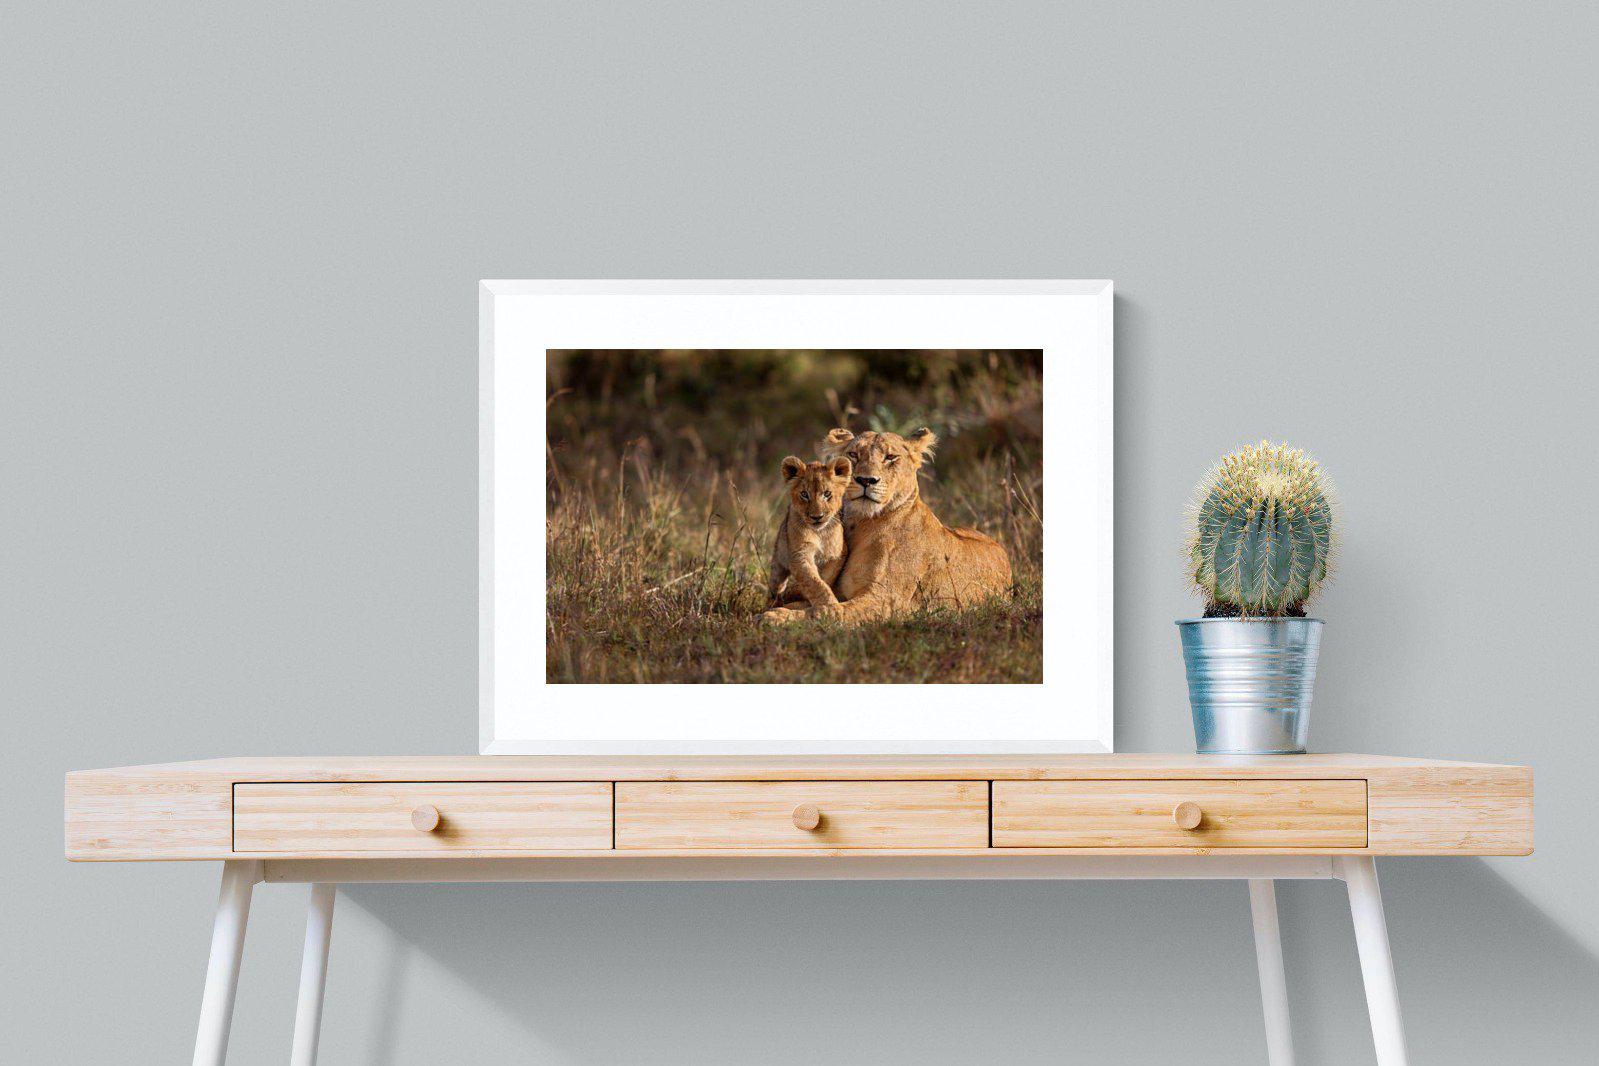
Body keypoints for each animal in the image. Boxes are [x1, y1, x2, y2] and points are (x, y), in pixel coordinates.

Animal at [767, 455, 853, 608]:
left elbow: (825, 578)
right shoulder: (799, 554)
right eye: (804, 494)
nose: (817, 517)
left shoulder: (838, 554)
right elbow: (814, 583)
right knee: (775, 586)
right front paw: (830, 606)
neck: (820, 533)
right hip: (778, 561)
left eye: (827, 493)